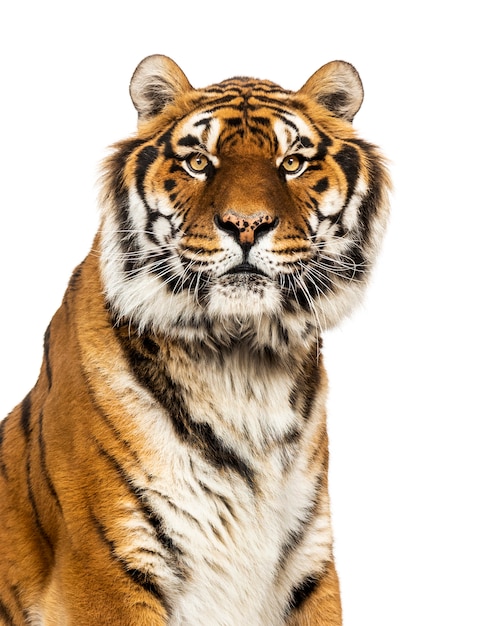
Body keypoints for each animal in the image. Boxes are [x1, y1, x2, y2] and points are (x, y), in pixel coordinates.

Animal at [0, 54, 390, 624]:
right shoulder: (107, 565)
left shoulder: (309, 563)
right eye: (199, 162)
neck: (242, 362)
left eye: (292, 162)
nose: (246, 224)